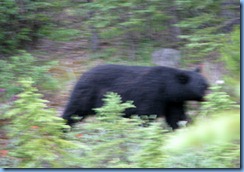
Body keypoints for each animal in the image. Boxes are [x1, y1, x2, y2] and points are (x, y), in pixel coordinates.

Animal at [62, 64, 209, 129]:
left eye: (207, 84)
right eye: (203, 86)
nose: (210, 96)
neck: (168, 89)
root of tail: (83, 75)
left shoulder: (173, 102)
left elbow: (177, 118)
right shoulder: (152, 94)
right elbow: (146, 115)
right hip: (87, 95)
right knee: (73, 111)